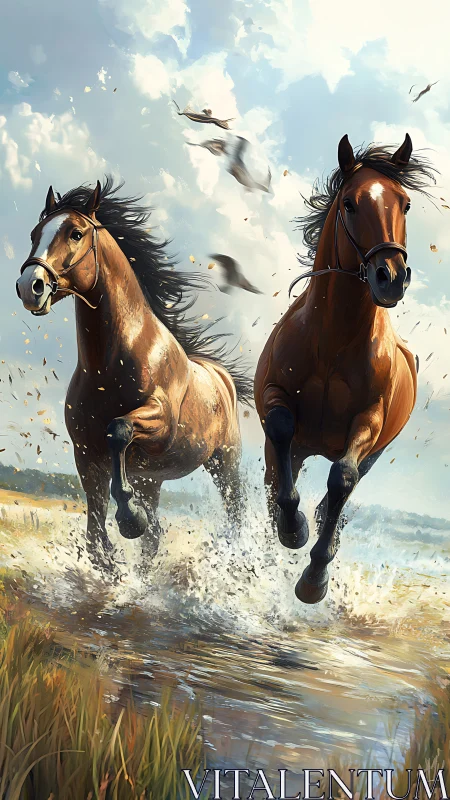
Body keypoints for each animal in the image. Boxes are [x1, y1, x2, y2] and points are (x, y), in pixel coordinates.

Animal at [16, 178, 252, 574]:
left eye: (75, 233)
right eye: (35, 233)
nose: (29, 286)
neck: (111, 364)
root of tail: (223, 378)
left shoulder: (156, 426)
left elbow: (119, 430)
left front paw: (129, 519)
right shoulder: (86, 454)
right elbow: (95, 529)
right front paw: (111, 562)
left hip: (224, 462)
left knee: (236, 513)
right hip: (152, 479)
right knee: (154, 539)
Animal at [254, 133, 437, 604]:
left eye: (405, 203)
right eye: (351, 203)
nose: (390, 277)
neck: (334, 341)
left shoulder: (367, 422)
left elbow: (342, 479)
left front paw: (314, 578)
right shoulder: (277, 399)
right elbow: (280, 429)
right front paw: (293, 530)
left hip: (373, 449)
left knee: (343, 488)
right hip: (295, 449)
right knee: (275, 477)